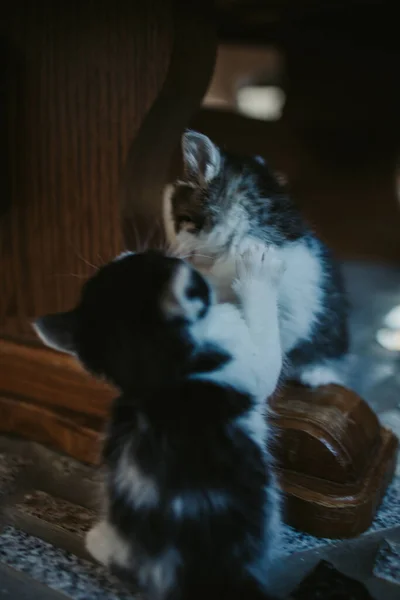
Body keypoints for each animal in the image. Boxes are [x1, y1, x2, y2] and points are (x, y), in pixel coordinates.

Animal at [33, 245, 284, 600]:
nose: (129, 249)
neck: (159, 380)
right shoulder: (242, 358)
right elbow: (268, 360)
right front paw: (258, 270)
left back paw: (99, 540)